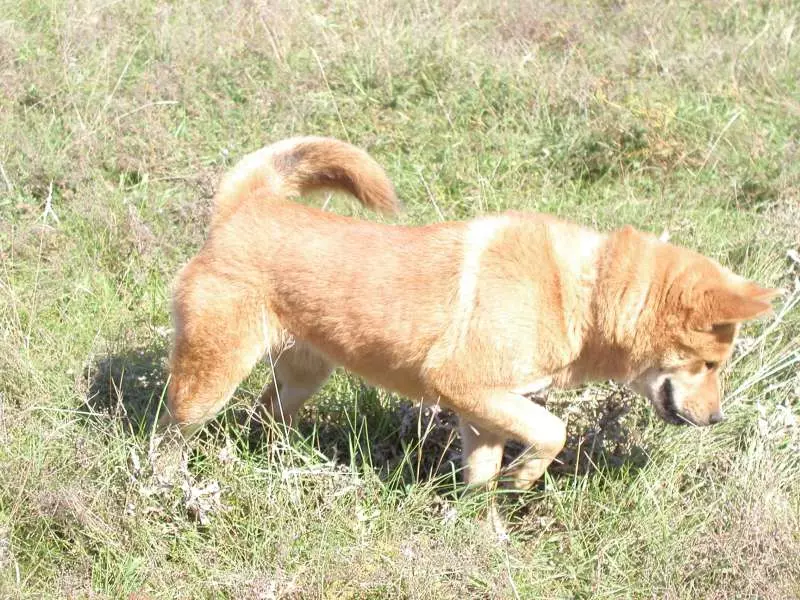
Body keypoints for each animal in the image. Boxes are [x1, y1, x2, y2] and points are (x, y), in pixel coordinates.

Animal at [159, 136, 780, 492]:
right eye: (710, 365)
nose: (718, 419)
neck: (579, 292)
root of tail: (246, 206)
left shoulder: (484, 412)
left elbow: (483, 480)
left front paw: (483, 537)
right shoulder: (462, 384)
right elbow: (552, 432)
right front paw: (523, 478)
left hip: (302, 377)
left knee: (263, 418)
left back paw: (279, 465)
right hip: (208, 381)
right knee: (170, 432)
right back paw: (163, 487)